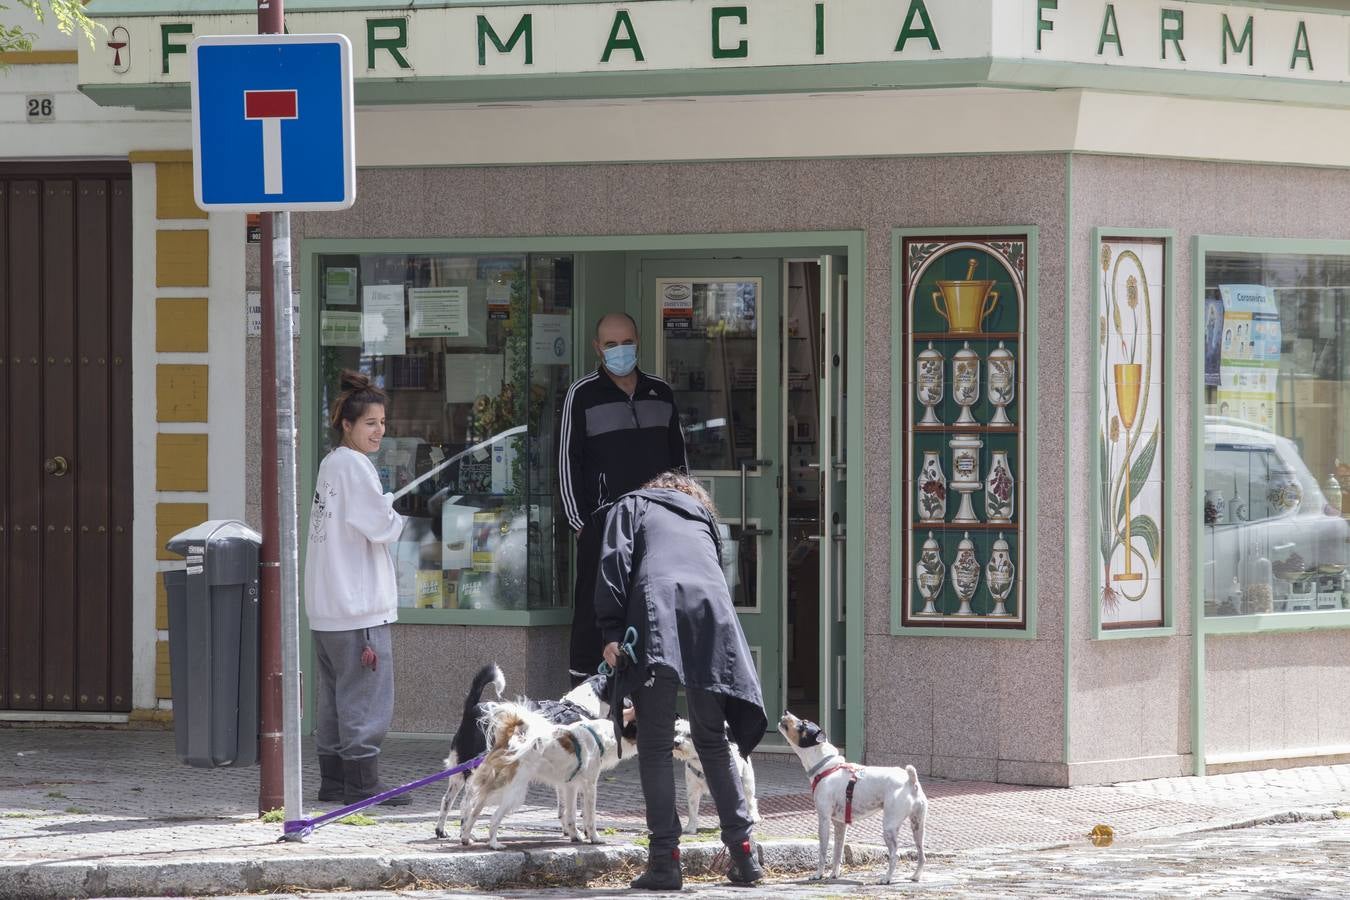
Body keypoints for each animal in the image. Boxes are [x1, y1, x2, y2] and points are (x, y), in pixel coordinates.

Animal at [459, 701, 637, 852]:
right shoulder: (589, 785)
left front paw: (575, 836)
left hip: (495, 788)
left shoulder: (570, 786)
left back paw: (466, 838)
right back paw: (494, 844)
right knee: (494, 817)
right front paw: (594, 838)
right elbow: (590, 817)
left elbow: (571, 815)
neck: (600, 736)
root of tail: (506, 742)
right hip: (513, 793)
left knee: (473, 811)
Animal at [783, 712, 928, 885]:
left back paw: (886, 878)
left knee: (895, 855)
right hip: (918, 826)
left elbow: (823, 851)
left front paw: (818, 874)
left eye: (804, 723)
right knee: (922, 855)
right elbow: (837, 852)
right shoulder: (840, 824)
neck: (826, 767)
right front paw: (834, 874)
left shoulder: (824, 819)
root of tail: (910, 781)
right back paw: (915, 876)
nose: (786, 712)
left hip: (889, 827)